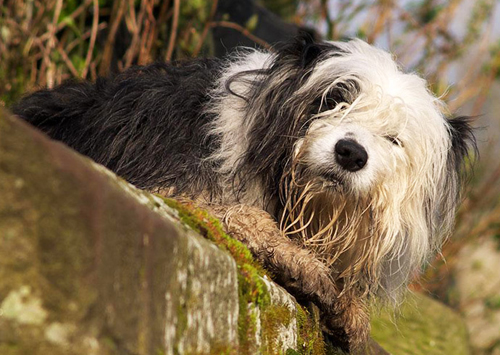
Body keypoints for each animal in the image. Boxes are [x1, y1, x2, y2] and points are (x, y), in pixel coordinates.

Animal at [10, 36, 472, 354]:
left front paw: (351, 309)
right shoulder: (170, 185)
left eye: (394, 139)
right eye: (333, 100)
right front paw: (305, 265)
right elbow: (243, 215)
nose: (351, 153)